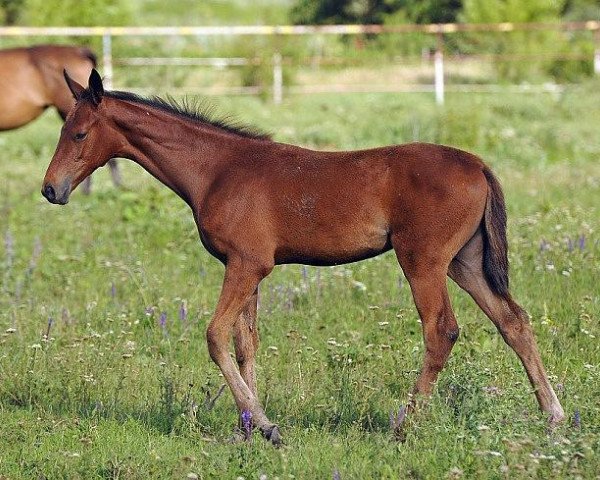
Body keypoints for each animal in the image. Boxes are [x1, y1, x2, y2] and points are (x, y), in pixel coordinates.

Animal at [39, 70, 564, 446]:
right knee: (513, 321)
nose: (50, 189)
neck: (216, 170)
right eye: (63, 129)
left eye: (79, 134)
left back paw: (403, 426)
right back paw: (554, 417)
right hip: (466, 261)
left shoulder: (248, 263)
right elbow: (245, 343)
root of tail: (478, 164)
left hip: (423, 260)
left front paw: (267, 427)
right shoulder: (245, 268)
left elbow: (215, 336)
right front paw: (246, 428)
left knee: (442, 330)